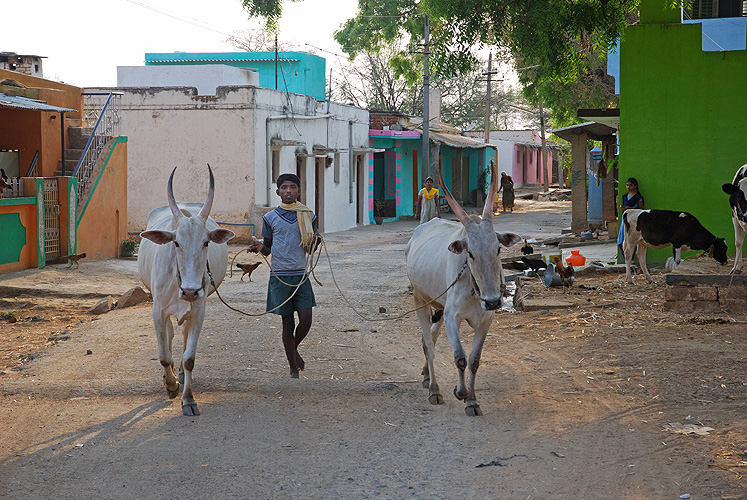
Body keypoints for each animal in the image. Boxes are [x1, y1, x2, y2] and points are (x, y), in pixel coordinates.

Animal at [137, 166, 235, 416]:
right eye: (176, 243)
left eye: (206, 242)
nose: (190, 291)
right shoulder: (157, 311)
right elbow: (163, 355)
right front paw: (171, 385)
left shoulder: (199, 311)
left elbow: (190, 357)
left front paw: (188, 398)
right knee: (170, 337)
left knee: (181, 337)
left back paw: (179, 371)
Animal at [410, 163, 520, 414]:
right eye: (470, 253)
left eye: (498, 249)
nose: (493, 300)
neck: (475, 288)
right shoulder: (453, 316)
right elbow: (459, 357)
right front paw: (460, 392)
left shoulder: (486, 319)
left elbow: (474, 360)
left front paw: (472, 400)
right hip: (420, 300)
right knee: (428, 344)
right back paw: (434, 389)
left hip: (439, 305)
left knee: (430, 339)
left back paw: (426, 376)